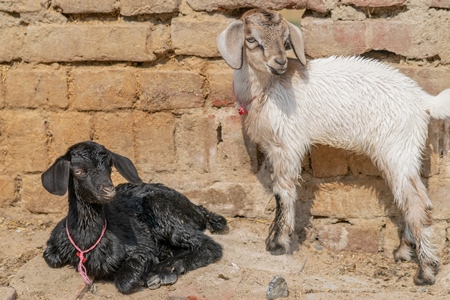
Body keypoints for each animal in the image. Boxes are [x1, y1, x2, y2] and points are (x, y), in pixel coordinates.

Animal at [216, 8, 450, 286]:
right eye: (251, 39)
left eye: (285, 41)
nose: (280, 63)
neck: (266, 89)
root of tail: (422, 100)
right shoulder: (275, 147)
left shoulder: (287, 144)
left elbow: (283, 192)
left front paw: (277, 243)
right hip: (405, 152)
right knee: (419, 198)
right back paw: (405, 251)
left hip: (396, 149)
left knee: (414, 203)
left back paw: (425, 271)